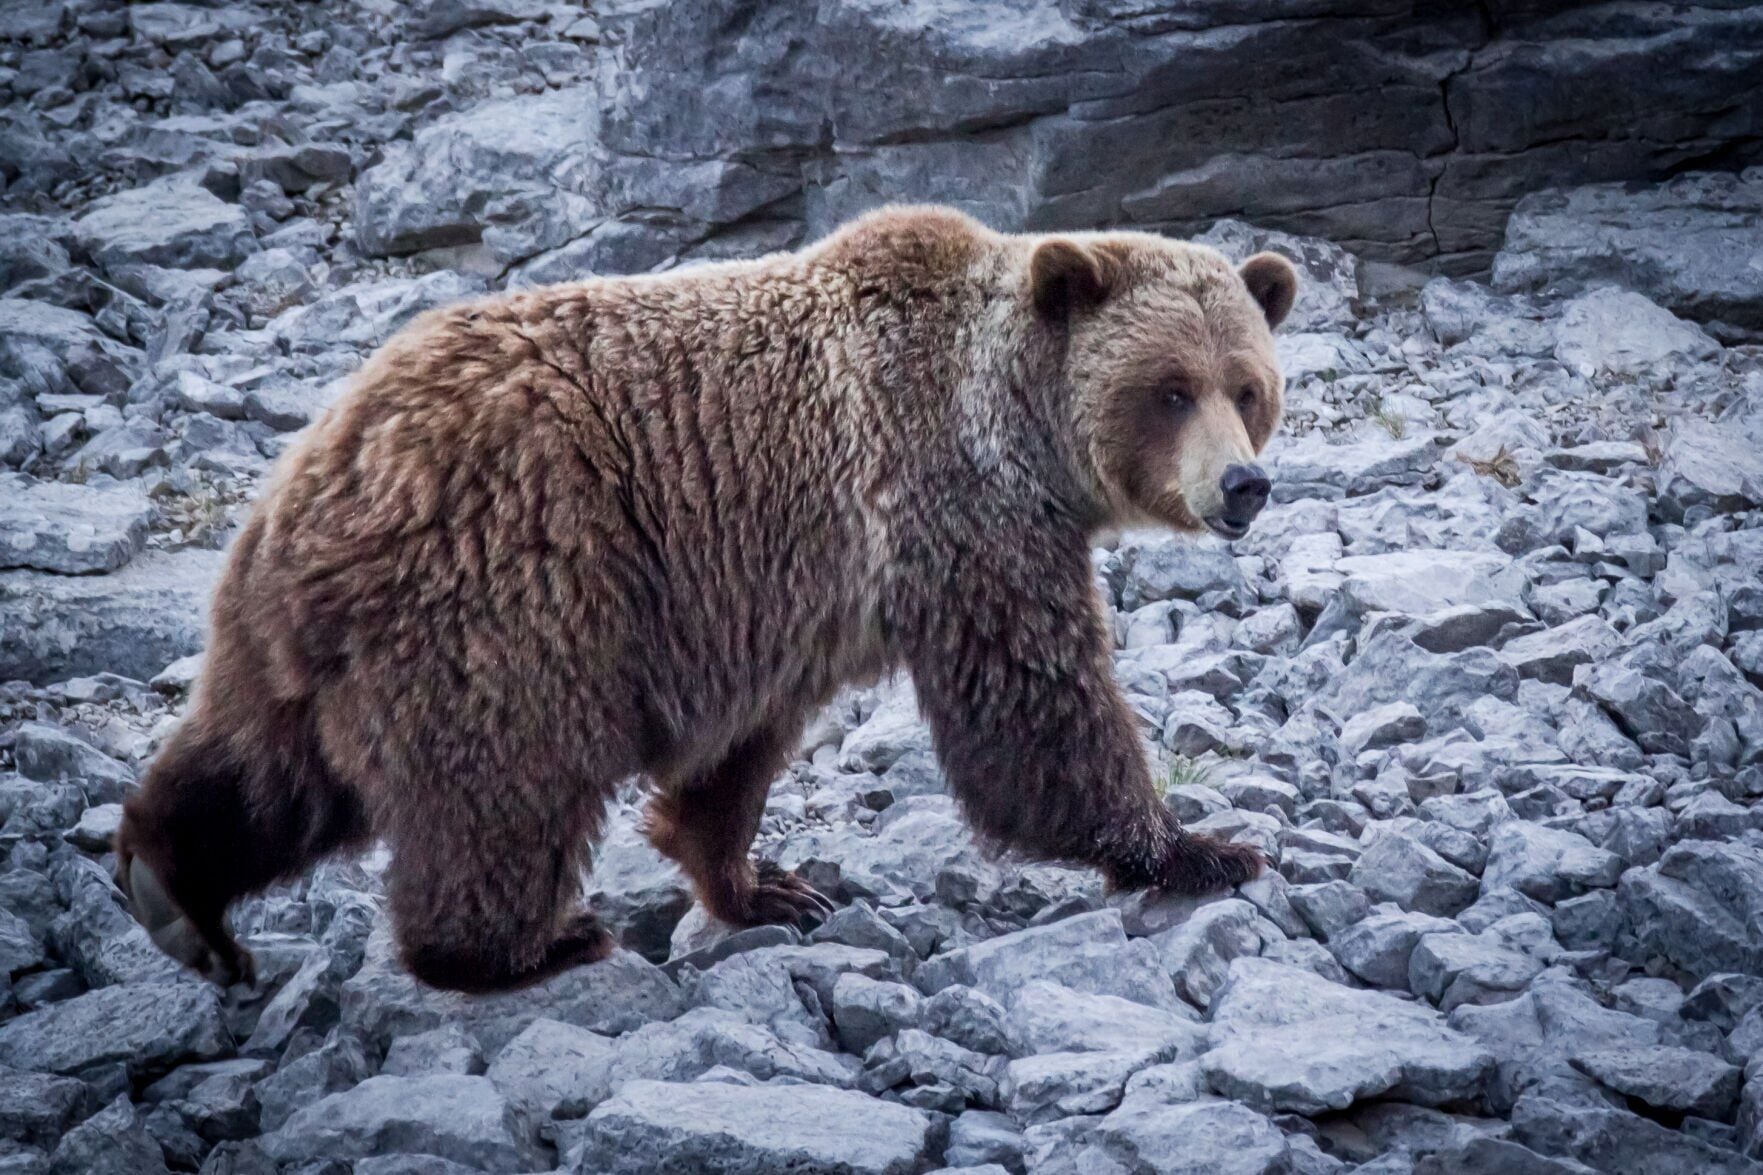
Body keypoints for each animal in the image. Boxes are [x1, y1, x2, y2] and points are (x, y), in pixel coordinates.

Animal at [115, 205, 1297, 992]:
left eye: (1247, 386)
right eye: (1168, 389)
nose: (1243, 485)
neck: (1017, 426)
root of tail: (332, 464)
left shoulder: (771, 595)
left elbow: (738, 751)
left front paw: (761, 882)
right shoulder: (956, 513)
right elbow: (1035, 704)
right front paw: (1198, 846)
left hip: (292, 632)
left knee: (260, 768)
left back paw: (172, 892)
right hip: (510, 584)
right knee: (504, 777)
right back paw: (520, 943)